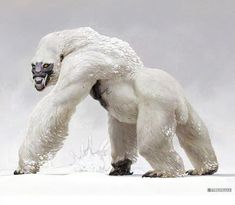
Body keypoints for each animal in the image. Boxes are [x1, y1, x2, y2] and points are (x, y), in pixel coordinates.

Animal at [13, 27, 218, 177]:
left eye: (46, 66)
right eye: (33, 66)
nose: (37, 80)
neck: (81, 40)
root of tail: (178, 101)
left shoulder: (80, 64)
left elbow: (57, 105)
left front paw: (25, 165)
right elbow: (121, 123)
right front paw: (121, 165)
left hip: (157, 103)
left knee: (150, 143)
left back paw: (167, 172)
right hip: (183, 106)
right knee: (195, 133)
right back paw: (206, 168)